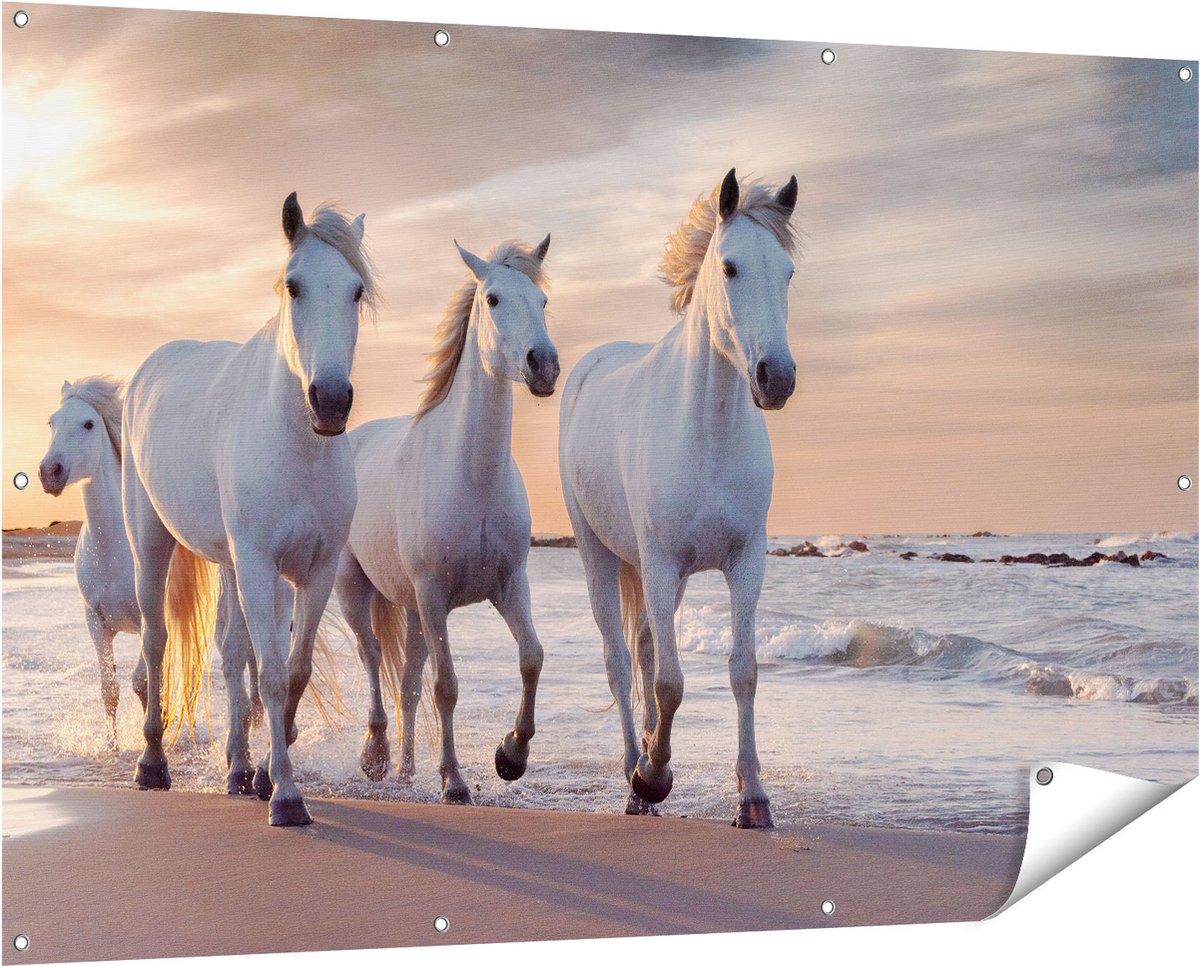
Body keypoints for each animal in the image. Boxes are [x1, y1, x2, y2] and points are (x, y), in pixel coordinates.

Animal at [122, 193, 376, 825]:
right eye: (294, 286)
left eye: (356, 291)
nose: (330, 401)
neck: (297, 446)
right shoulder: (261, 566)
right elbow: (274, 676)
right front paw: (286, 796)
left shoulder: (315, 570)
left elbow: (291, 670)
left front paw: (264, 775)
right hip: (152, 543)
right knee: (156, 641)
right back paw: (152, 764)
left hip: (230, 565)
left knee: (232, 653)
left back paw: (237, 768)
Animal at [335, 236, 557, 803]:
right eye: (494, 299)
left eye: (543, 301)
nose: (543, 365)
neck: (471, 476)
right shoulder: (435, 595)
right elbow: (447, 686)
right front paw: (454, 781)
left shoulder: (510, 585)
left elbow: (532, 657)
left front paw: (511, 756)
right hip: (355, 589)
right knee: (373, 657)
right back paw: (376, 755)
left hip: (413, 610)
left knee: (407, 682)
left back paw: (407, 768)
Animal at [559, 169, 799, 828]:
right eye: (730, 267)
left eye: (788, 273)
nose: (777, 378)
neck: (707, 431)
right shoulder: (661, 563)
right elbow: (670, 683)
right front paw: (654, 774)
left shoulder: (745, 562)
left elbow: (743, 671)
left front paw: (753, 798)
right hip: (599, 554)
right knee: (620, 661)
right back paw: (633, 776)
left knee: (642, 648)